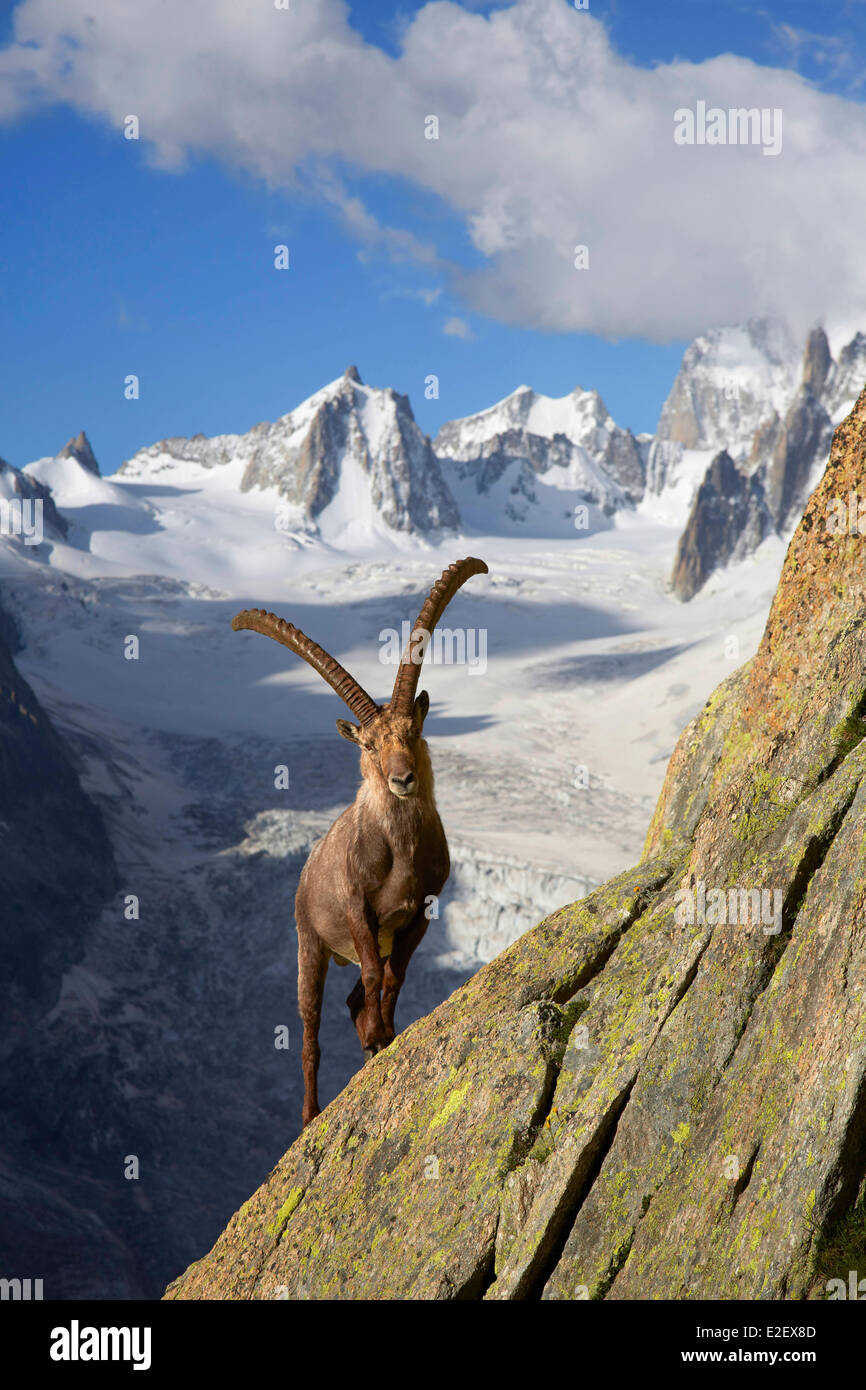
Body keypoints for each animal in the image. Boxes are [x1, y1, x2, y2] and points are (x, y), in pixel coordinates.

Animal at [232, 557, 488, 1126]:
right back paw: (310, 1113)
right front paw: (377, 1035)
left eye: (413, 731)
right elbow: (373, 973)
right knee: (310, 1032)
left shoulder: (420, 912)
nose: (402, 779)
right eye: (369, 745)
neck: (401, 855)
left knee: (352, 999)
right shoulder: (357, 909)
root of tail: (305, 868)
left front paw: (384, 1036)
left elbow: (394, 976)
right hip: (310, 944)